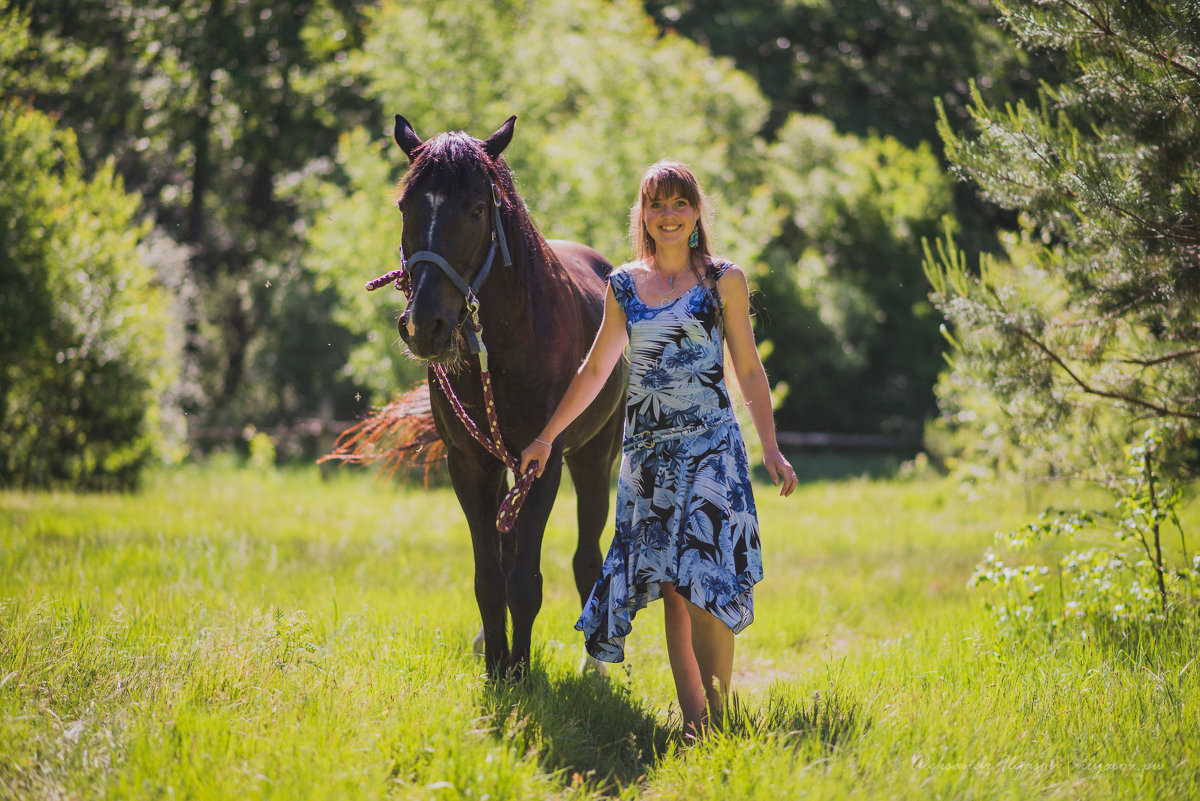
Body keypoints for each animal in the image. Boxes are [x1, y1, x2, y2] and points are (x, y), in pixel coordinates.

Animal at [391, 112, 624, 676]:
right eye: (406, 206)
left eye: (477, 210)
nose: (424, 326)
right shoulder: (469, 462)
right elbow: (490, 576)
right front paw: (497, 665)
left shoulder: (546, 460)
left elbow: (525, 582)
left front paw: (519, 671)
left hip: (594, 456)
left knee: (587, 558)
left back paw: (594, 665)